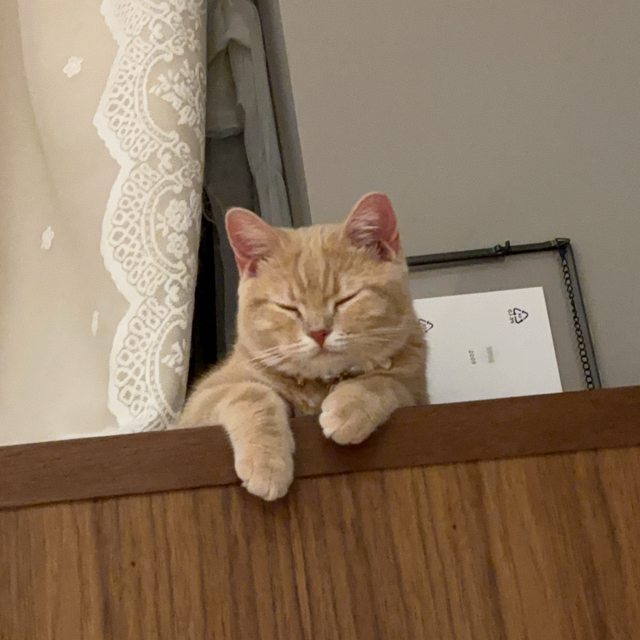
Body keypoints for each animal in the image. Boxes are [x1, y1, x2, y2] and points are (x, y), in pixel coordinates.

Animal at [177, 192, 426, 500]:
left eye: (345, 300)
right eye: (289, 308)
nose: (318, 332)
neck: (318, 387)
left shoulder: (417, 392)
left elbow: (385, 381)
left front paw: (350, 405)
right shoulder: (200, 404)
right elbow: (252, 393)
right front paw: (266, 465)